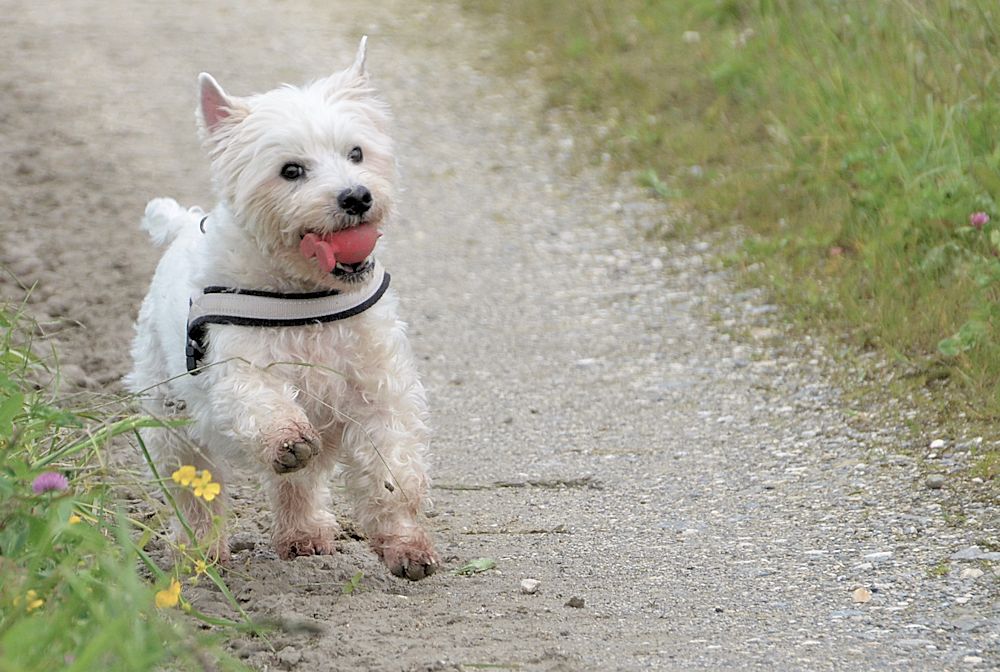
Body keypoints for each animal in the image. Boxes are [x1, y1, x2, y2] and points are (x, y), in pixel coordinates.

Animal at [125, 39, 438, 580]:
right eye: (291, 170)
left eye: (356, 153)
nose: (357, 196)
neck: (305, 297)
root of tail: (181, 224)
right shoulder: (236, 368)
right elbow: (262, 404)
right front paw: (287, 439)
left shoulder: (377, 389)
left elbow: (392, 471)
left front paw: (407, 547)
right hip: (169, 416)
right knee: (193, 489)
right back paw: (200, 551)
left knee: (300, 486)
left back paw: (304, 536)